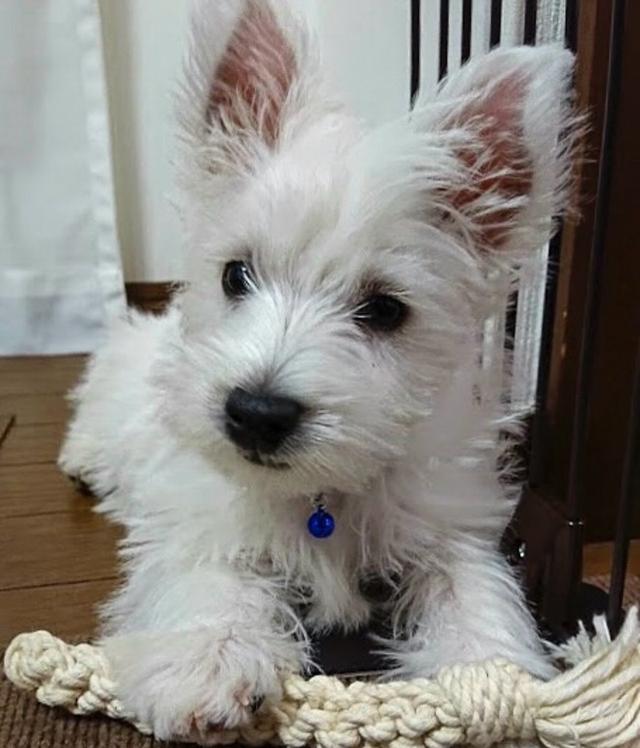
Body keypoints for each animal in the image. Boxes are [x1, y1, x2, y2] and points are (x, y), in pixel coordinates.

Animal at [58, 1, 576, 744]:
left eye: (384, 309)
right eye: (235, 274)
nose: (256, 414)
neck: (321, 494)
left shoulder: (448, 528)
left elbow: (476, 592)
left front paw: (489, 674)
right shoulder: (202, 519)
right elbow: (209, 576)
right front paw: (206, 664)